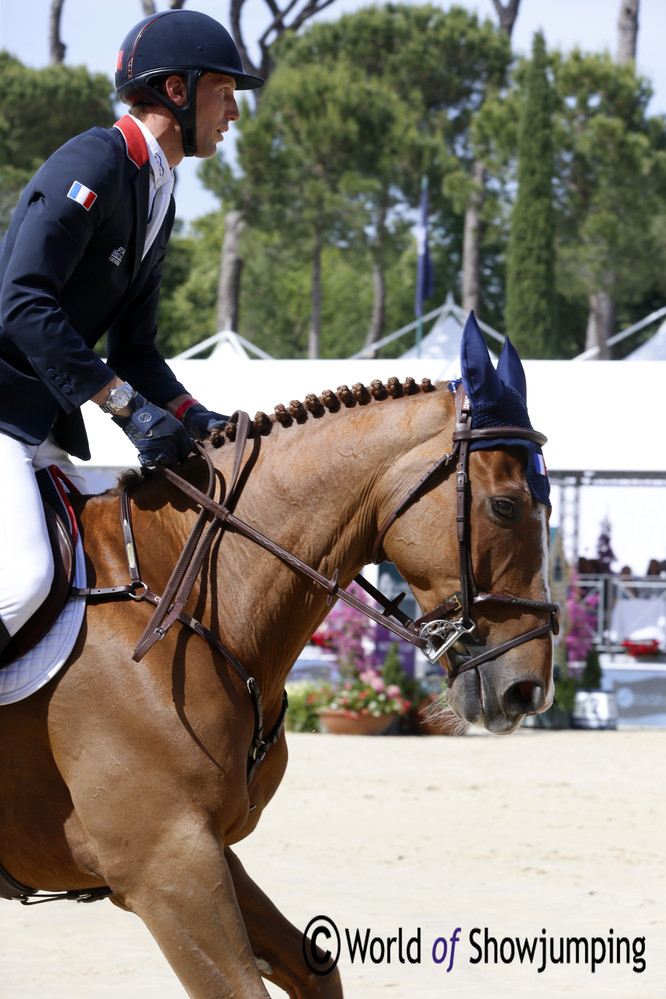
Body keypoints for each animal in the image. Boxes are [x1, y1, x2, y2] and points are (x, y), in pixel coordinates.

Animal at [1, 322, 556, 999]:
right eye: (505, 506)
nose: (527, 690)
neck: (187, 600)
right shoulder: (164, 864)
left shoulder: (209, 852)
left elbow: (314, 968)